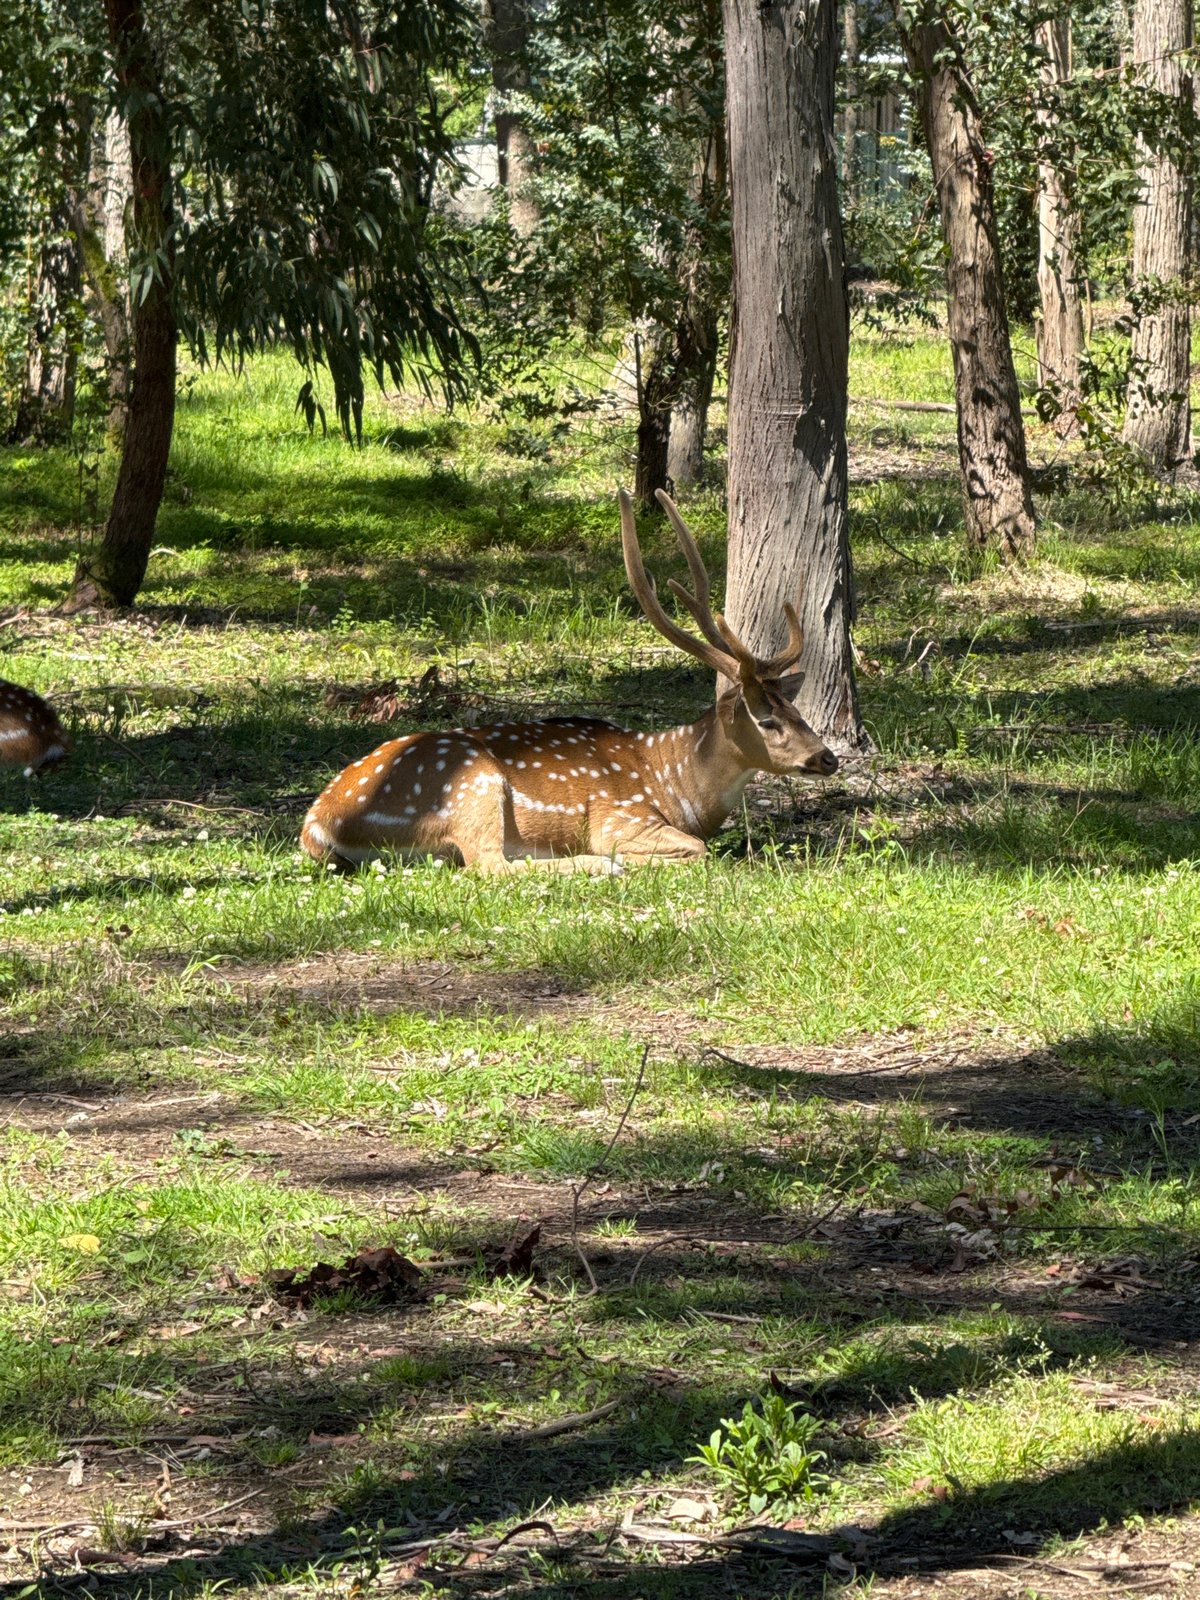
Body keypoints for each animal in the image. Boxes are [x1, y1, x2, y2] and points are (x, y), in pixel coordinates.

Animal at [300, 487, 837, 875]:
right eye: (767, 720)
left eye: (797, 710)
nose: (827, 758)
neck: (678, 786)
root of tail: (316, 825)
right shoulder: (623, 818)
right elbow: (697, 850)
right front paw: (627, 859)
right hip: (472, 785)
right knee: (487, 866)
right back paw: (598, 864)